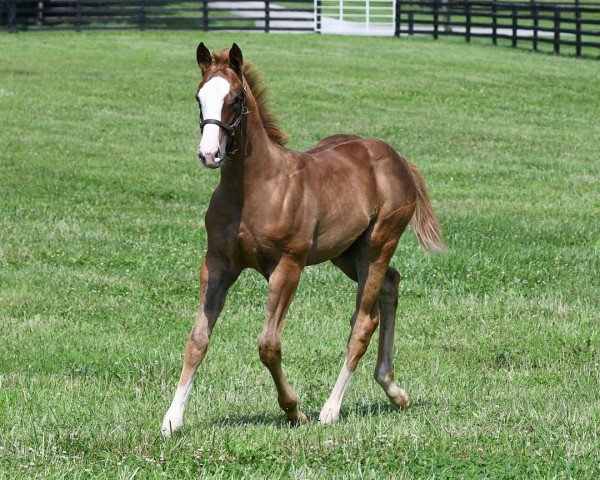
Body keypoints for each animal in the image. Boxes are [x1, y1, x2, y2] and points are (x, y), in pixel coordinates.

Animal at [162, 43, 442, 436]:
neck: (253, 190)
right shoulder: (217, 264)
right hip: (346, 252)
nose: (209, 154)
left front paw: (295, 411)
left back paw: (331, 409)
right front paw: (172, 418)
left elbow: (268, 344)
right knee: (390, 285)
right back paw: (393, 389)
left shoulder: (288, 265)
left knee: (362, 322)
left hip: (378, 245)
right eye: (199, 97)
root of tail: (398, 158)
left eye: (236, 98)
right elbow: (197, 339)